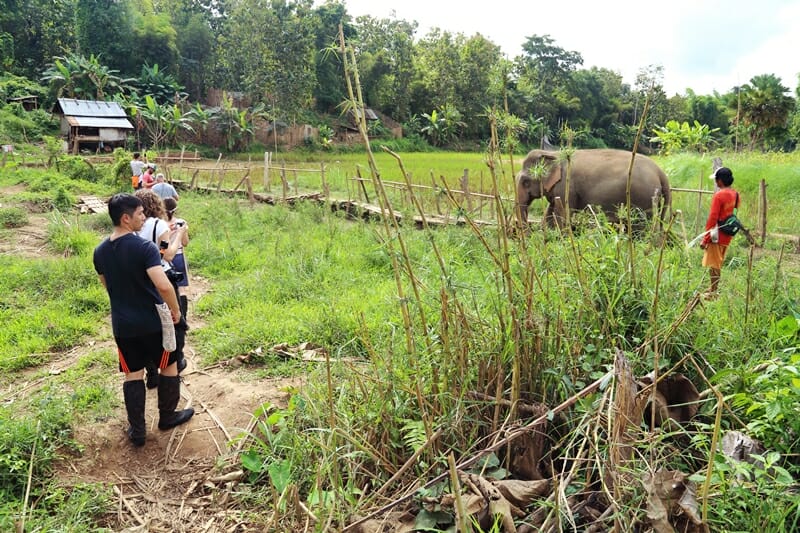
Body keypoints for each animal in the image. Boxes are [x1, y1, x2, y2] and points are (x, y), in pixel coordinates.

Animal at [516, 148, 672, 229]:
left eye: (526, 182)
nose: (527, 232)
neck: (553, 153)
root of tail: (661, 172)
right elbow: (551, 210)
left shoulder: (566, 187)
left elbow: (564, 212)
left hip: (643, 198)